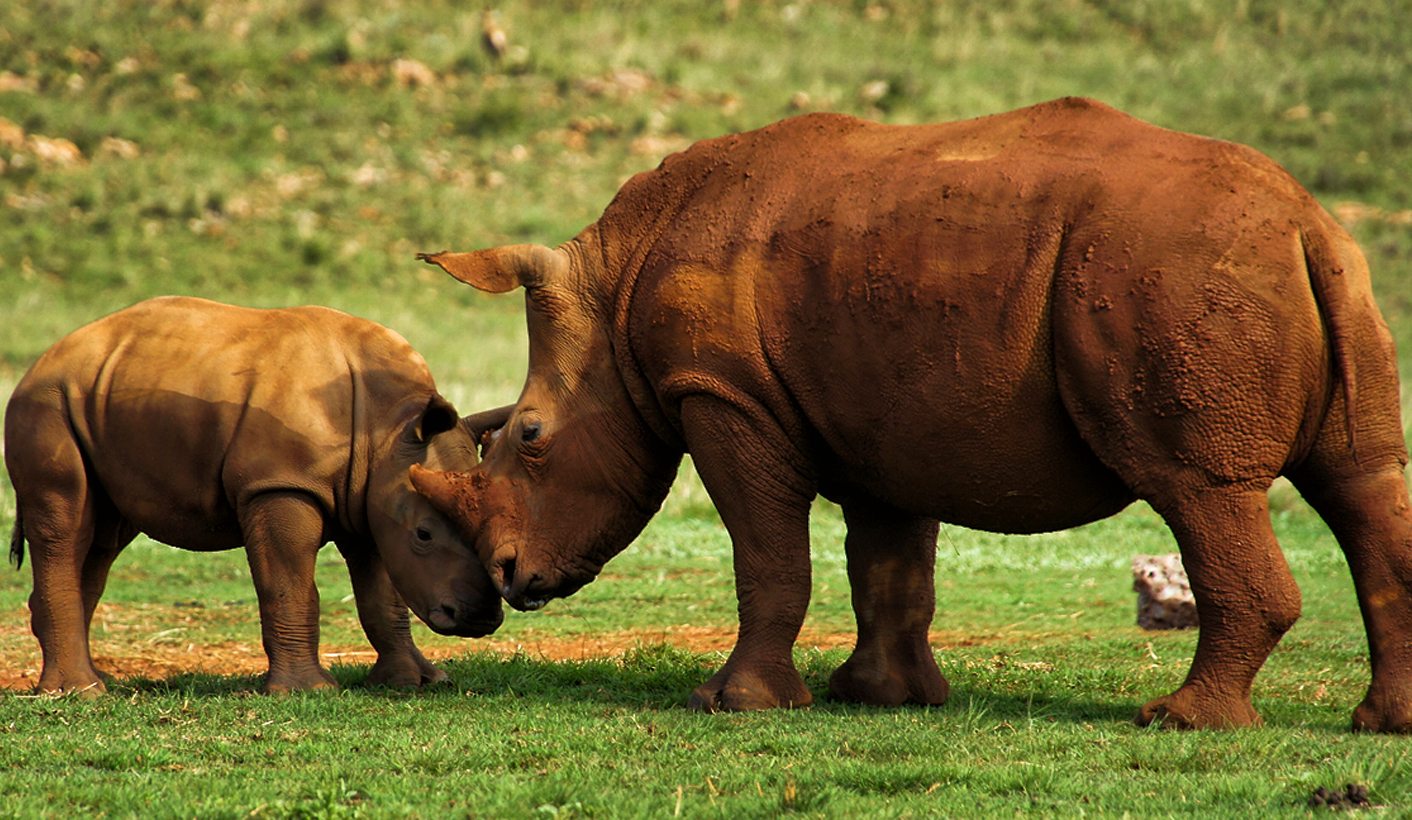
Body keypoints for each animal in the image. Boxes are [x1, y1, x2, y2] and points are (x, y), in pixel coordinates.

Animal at [5, 296, 501, 695]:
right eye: (424, 535)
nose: (480, 618)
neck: (390, 429)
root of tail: (41, 361)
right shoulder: (279, 484)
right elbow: (288, 584)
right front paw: (306, 691)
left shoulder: (369, 498)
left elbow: (383, 595)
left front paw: (416, 682)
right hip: (47, 402)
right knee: (66, 523)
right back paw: (80, 693)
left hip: (101, 402)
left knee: (101, 539)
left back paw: (93, 682)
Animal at [410, 98, 1412, 731]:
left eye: (529, 439)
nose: (509, 580)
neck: (615, 284)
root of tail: (1304, 221)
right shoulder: (886, 412)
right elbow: (890, 567)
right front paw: (879, 697)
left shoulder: (723, 393)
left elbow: (768, 555)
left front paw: (731, 704)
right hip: (1325, 275)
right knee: (1362, 482)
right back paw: (1379, 725)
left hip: (1174, 276)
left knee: (1200, 490)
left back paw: (1179, 723)